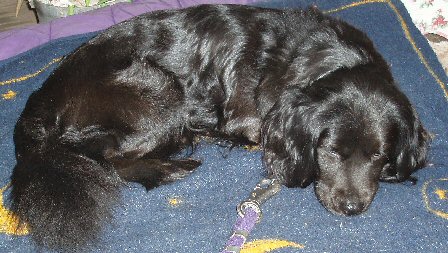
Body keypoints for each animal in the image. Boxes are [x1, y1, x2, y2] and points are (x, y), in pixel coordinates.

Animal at [10, 3, 428, 251]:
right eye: (330, 152)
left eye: (378, 155)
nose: (352, 208)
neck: (331, 61)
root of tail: (41, 100)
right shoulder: (256, 120)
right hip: (162, 90)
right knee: (104, 157)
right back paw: (172, 167)